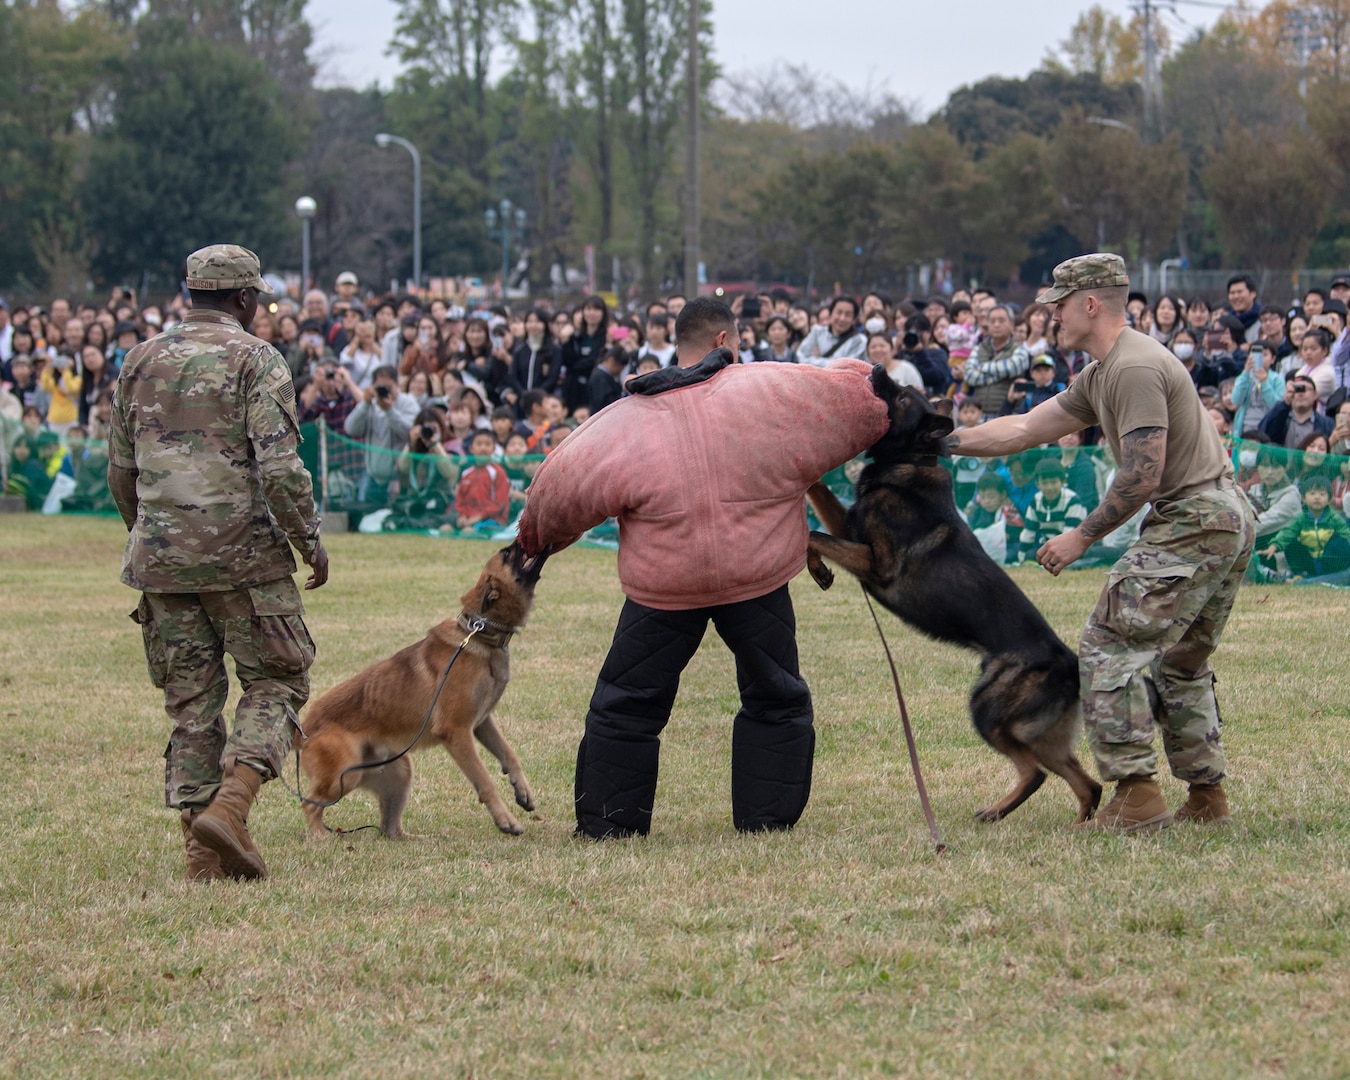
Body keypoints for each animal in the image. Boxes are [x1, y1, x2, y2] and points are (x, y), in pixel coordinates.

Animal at [295, 545, 548, 837]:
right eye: (508, 553)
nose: (526, 540)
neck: (481, 633)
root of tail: (303, 731)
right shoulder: (456, 731)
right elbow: (484, 781)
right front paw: (505, 820)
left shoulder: (482, 723)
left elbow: (509, 754)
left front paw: (523, 791)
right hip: (344, 775)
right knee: (309, 804)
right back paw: (320, 836)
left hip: (400, 773)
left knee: (389, 830)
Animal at [804, 372, 1101, 826]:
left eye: (902, 397)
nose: (876, 370)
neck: (913, 460)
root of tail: (1071, 663)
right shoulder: (848, 527)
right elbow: (819, 499)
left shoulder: (876, 564)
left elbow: (813, 534)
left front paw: (816, 566)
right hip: (1039, 735)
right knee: (1088, 784)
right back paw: (1076, 826)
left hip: (987, 709)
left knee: (1035, 773)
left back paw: (995, 812)